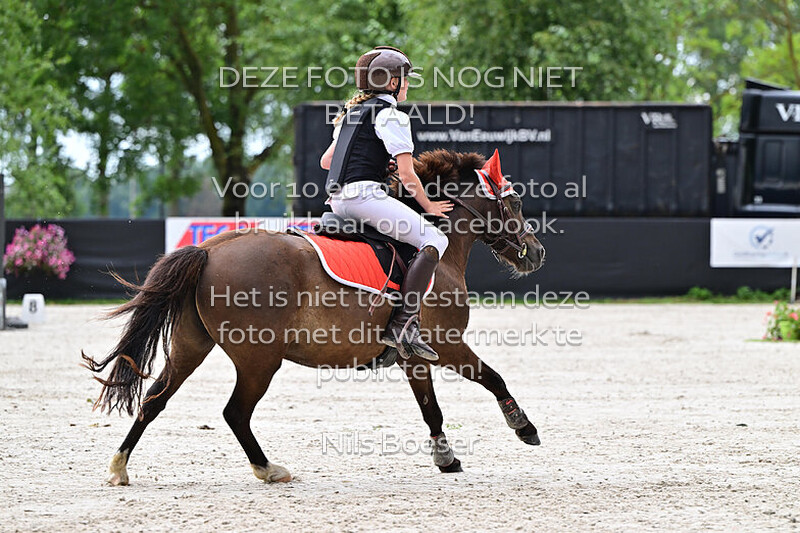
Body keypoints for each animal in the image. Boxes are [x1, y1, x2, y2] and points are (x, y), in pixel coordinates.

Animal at [83, 148, 546, 485]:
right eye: (516, 201)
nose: (537, 253)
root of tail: (210, 249)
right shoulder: (448, 345)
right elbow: (493, 378)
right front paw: (523, 426)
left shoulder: (414, 356)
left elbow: (431, 408)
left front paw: (445, 457)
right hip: (258, 360)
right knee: (235, 413)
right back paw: (268, 469)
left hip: (191, 346)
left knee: (155, 398)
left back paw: (120, 467)